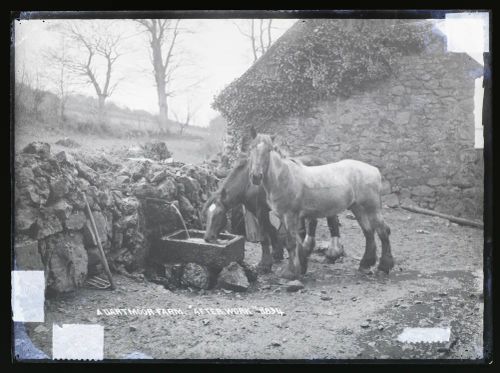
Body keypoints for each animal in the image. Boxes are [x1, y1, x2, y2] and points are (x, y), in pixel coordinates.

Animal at [203, 153, 344, 272]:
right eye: (206, 215)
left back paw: (332, 254)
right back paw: (308, 250)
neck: (247, 183)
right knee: (313, 222)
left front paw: (265, 264)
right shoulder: (257, 210)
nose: (208, 238)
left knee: (332, 221)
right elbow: (271, 230)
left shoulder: (261, 210)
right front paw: (277, 253)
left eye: (219, 214)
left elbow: (264, 236)